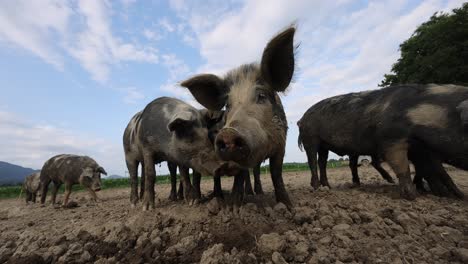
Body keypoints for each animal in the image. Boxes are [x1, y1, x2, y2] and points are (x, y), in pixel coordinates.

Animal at [180, 26, 296, 208]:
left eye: (261, 96)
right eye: (228, 104)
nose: (228, 133)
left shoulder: (281, 146)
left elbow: (276, 174)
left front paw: (288, 206)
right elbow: (240, 175)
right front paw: (234, 207)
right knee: (197, 175)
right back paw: (200, 200)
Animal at [298, 83, 468, 199]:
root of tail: (301, 119)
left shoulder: (422, 151)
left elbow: (436, 171)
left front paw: (454, 195)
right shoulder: (392, 139)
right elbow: (404, 167)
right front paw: (413, 196)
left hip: (324, 145)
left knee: (323, 162)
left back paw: (328, 186)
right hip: (310, 138)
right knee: (313, 161)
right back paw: (317, 187)